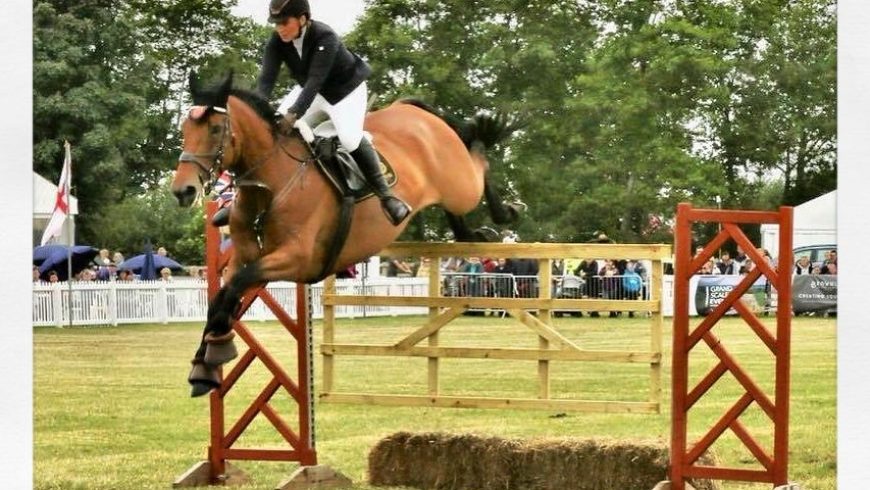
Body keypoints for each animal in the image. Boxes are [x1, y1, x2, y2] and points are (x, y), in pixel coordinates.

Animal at [172, 71, 524, 396]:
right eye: (184, 131)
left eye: (215, 129)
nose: (182, 191)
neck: (270, 187)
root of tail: (412, 109)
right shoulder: (244, 257)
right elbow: (222, 297)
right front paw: (205, 366)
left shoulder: (296, 259)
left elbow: (233, 290)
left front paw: (216, 353)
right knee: (458, 211)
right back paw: (478, 231)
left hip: (460, 183)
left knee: (478, 164)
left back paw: (504, 203)